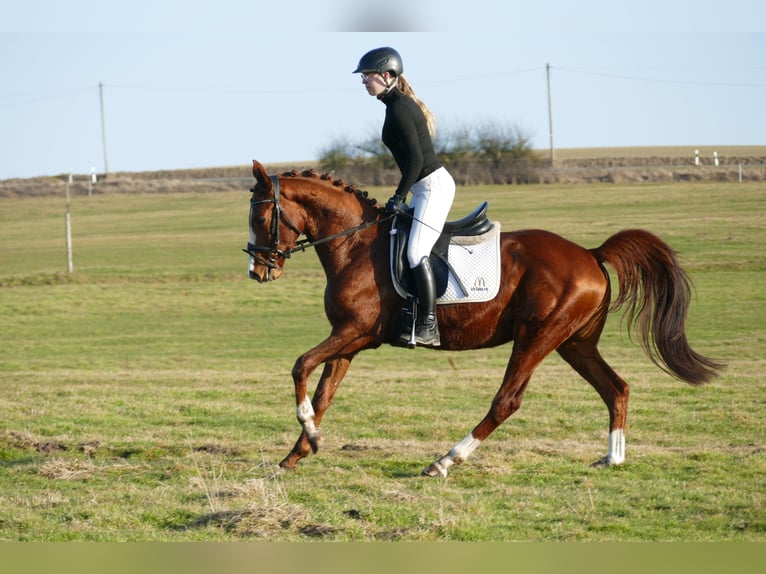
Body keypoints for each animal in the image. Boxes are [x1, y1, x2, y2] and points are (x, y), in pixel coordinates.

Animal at [244, 160, 723, 477]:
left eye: (262, 215)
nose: (257, 270)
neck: (356, 245)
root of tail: (590, 254)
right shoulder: (351, 339)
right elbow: (324, 391)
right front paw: (299, 451)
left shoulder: (353, 331)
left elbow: (300, 366)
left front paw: (309, 436)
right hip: (574, 343)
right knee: (616, 388)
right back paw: (613, 457)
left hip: (537, 338)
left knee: (507, 401)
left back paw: (445, 461)